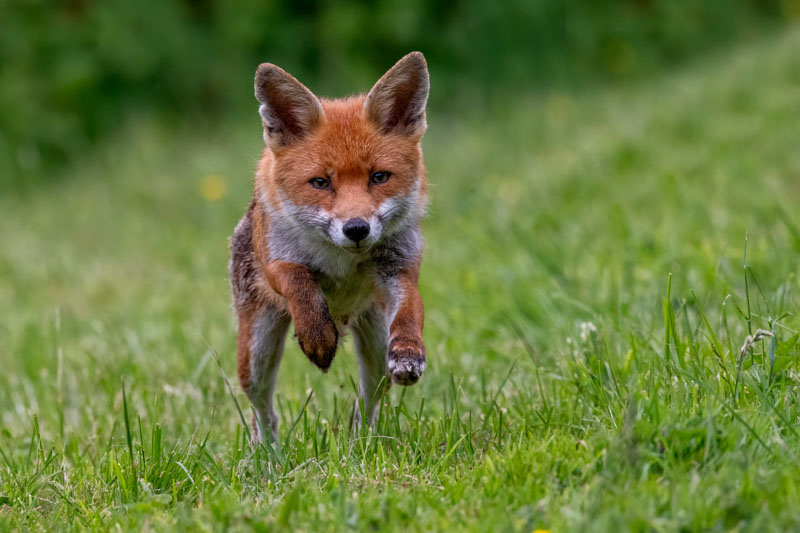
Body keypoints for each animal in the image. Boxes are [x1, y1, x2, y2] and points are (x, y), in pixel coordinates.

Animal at [229, 52, 430, 443]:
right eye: (320, 182)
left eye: (379, 177)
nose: (356, 229)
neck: (342, 260)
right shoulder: (278, 261)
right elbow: (299, 281)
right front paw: (317, 335)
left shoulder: (399, 267)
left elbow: (411, 311)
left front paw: (409, 351)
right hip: (256, 353)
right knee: (263, 412)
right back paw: (267, 453)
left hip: (375, 344)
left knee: (369, 399)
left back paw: (361, 441)